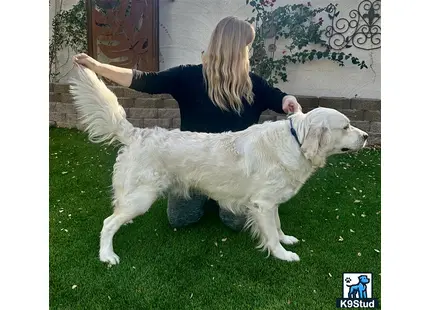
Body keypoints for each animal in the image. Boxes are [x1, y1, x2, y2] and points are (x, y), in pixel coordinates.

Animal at [69, 65, 368, 264]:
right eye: (346, 126)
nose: (366, 136)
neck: (295, 141)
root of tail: (136, 133)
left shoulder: (269, 202)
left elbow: (278, 225)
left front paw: (286, 240)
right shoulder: (262, 203)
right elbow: (270, 234)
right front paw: (283, 254)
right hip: (142, 196)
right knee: (108, 223)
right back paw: (107, 255)